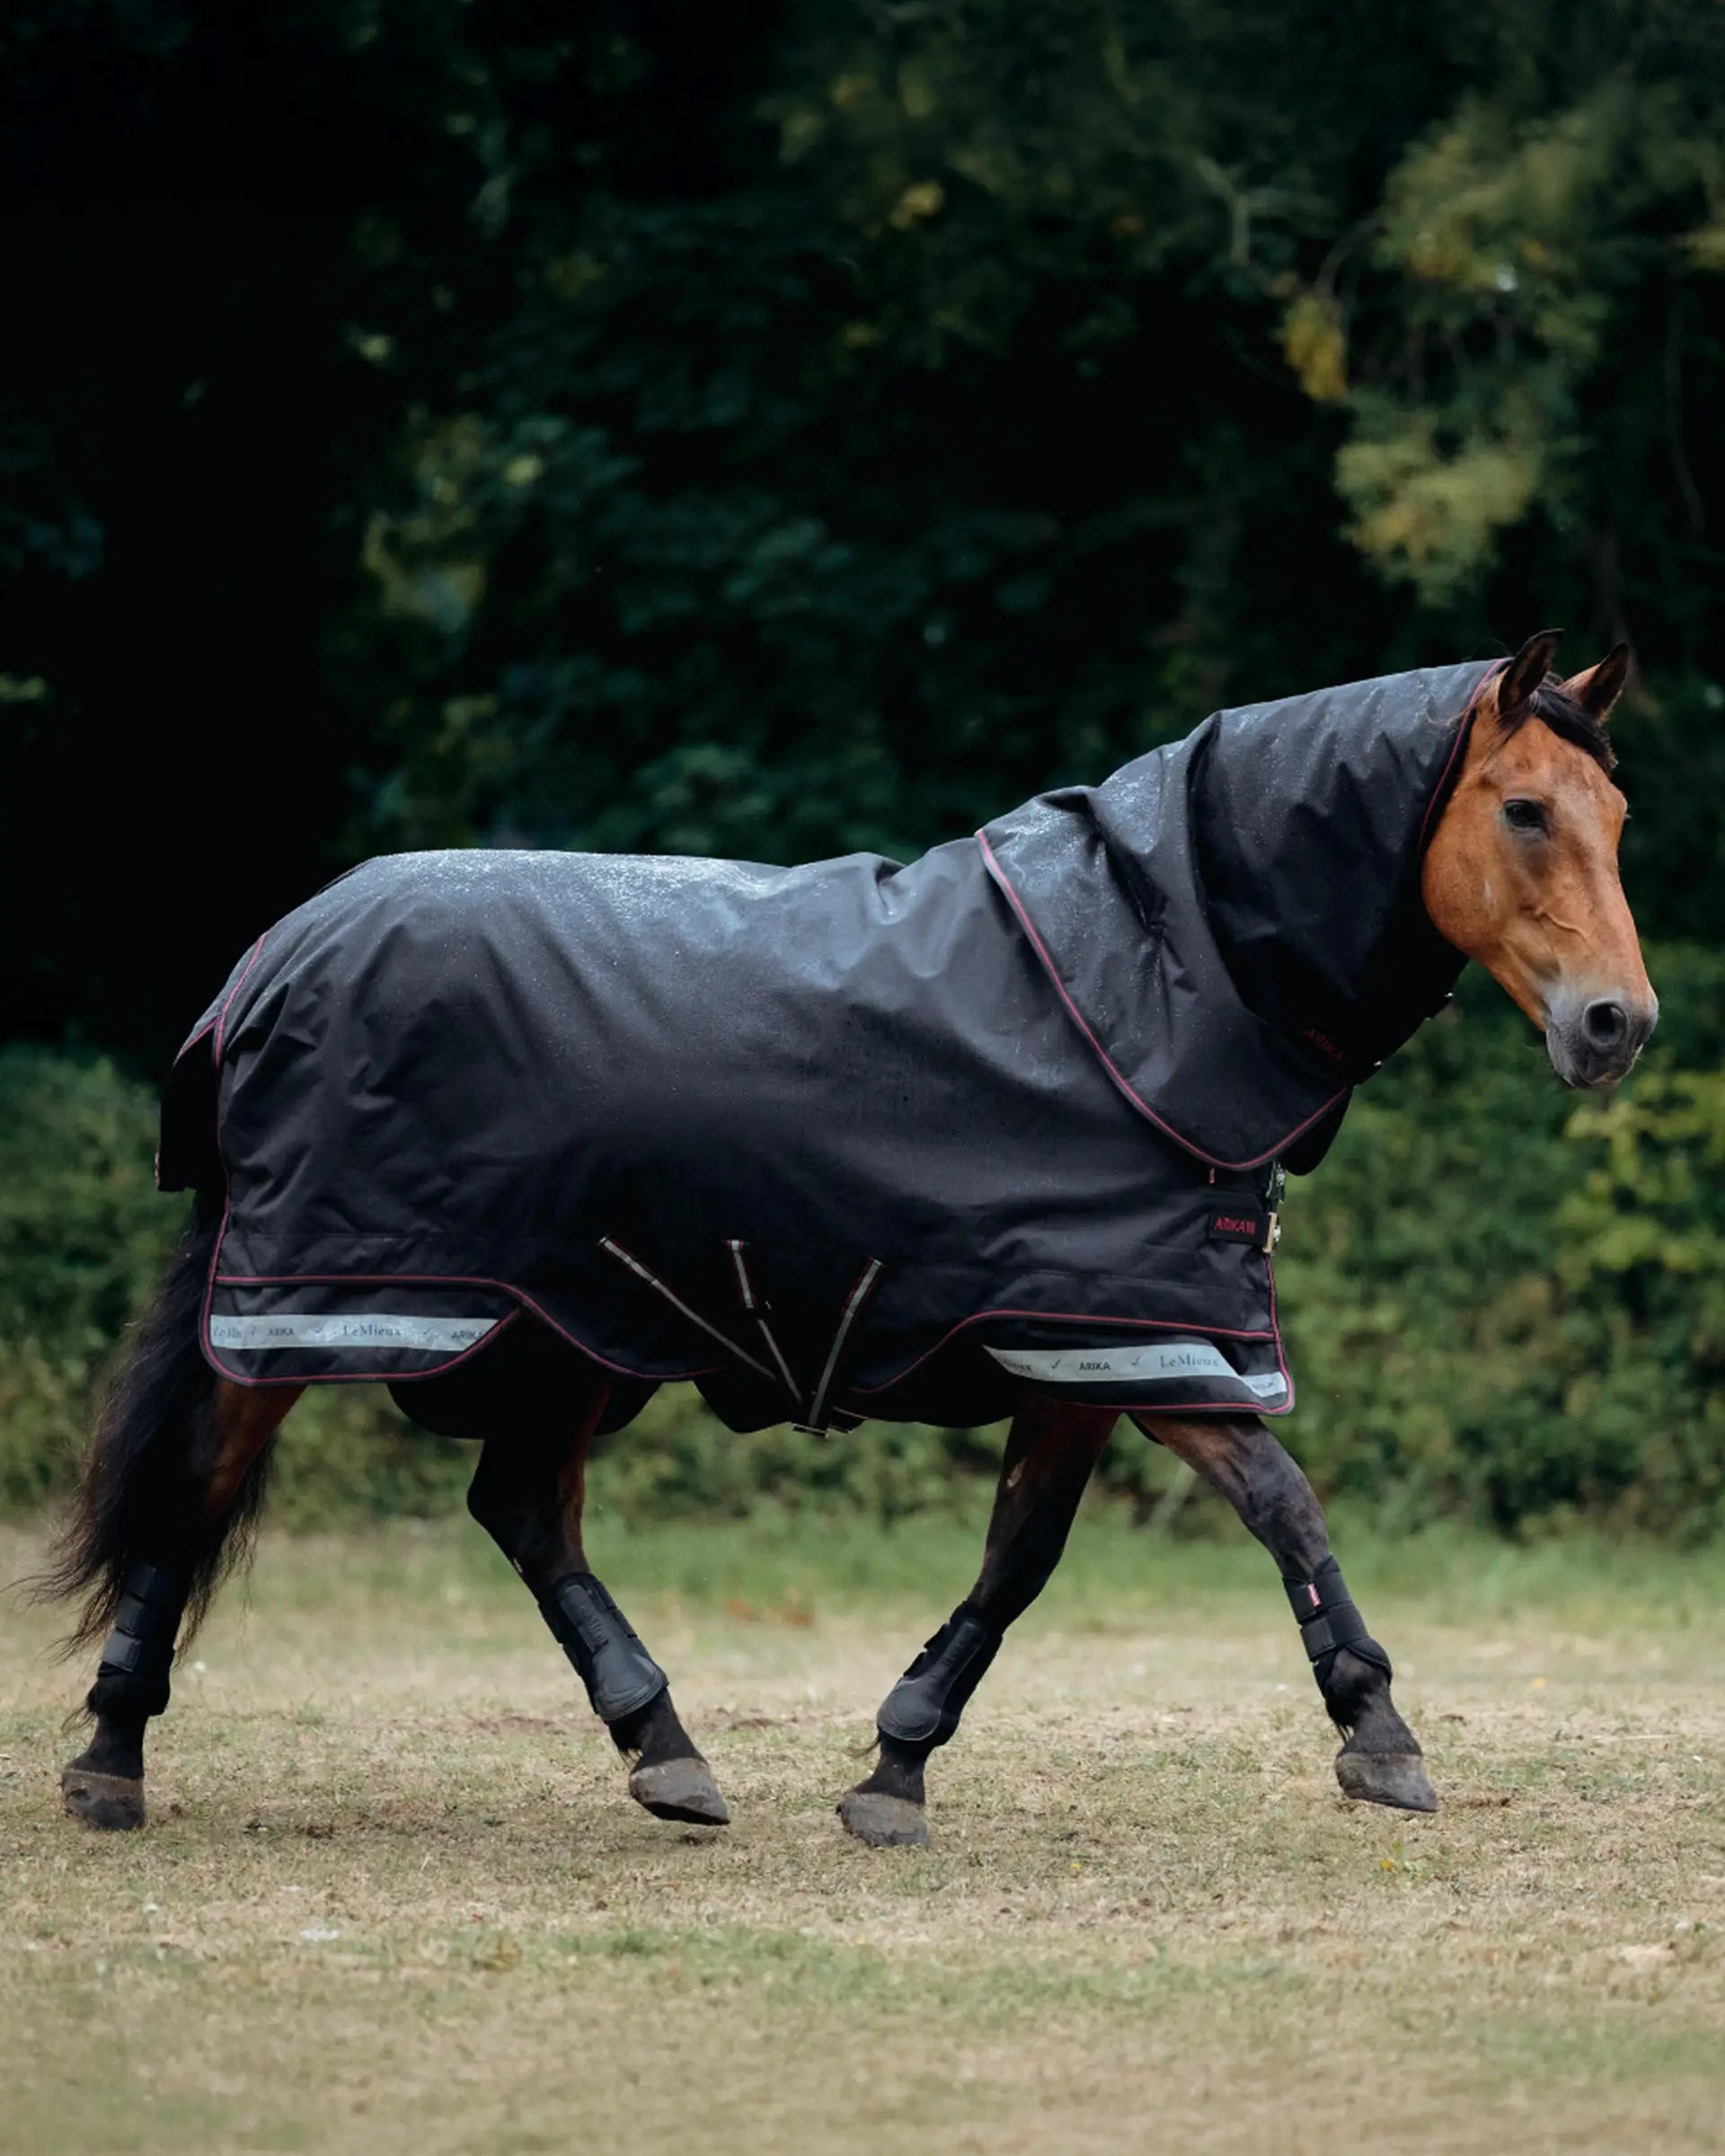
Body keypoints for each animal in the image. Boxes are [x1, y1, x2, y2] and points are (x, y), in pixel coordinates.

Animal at [38, 629, 1654, 1848]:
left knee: (523, 1513)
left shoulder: (1085, 1347)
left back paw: (666, 1749)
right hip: (316, 1301)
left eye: (1619, 819)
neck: (1154, 977)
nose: (1616, 1024)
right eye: (1524, 810)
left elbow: (1019, 1562)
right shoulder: (1133, 1343)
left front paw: (896, 1767)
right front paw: (1378, 1733)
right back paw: (112, 1759)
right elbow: (1284, 1504)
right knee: (201, 1486)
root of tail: (268, 960)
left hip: (567, 1322)